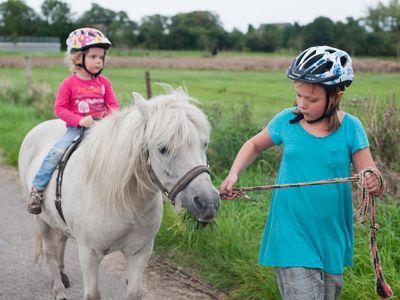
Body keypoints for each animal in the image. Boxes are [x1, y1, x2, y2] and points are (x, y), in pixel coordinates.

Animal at [18, 88, 220, 298]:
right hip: (41, 220)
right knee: (49, 251)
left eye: (204, 144)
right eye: (162, 148)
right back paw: (59, 290)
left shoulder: (139, 253)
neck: (126, 202)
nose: (208, 203)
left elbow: (134, 292)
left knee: (62, 240)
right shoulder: (89, 254)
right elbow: (93, 294)